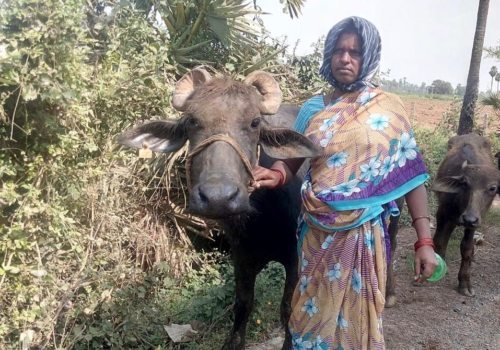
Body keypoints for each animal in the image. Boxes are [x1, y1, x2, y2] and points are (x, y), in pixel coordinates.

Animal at [117, 67, 318, 348]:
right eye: (192, 121)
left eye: (255, 122)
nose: (218, 197)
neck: (263, 219)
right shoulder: (241, 254)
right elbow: (243, 304)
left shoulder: (296, 258)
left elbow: (289, 310)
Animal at [430, 133, 500, 296]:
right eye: (465, 184)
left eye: (492, 188)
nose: (469, 218)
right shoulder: (442, 213)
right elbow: (438, 240)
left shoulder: (474, 223)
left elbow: (467, 248)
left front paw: (464, 283)